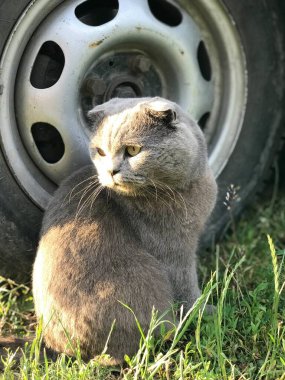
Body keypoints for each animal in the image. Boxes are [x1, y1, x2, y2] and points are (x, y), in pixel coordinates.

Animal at [32, 96, 216, 364]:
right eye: (100, 151)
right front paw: (205, 311)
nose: (110, 171)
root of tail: (69, 353)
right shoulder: (175, 252)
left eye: (133, 150)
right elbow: (187, 289)